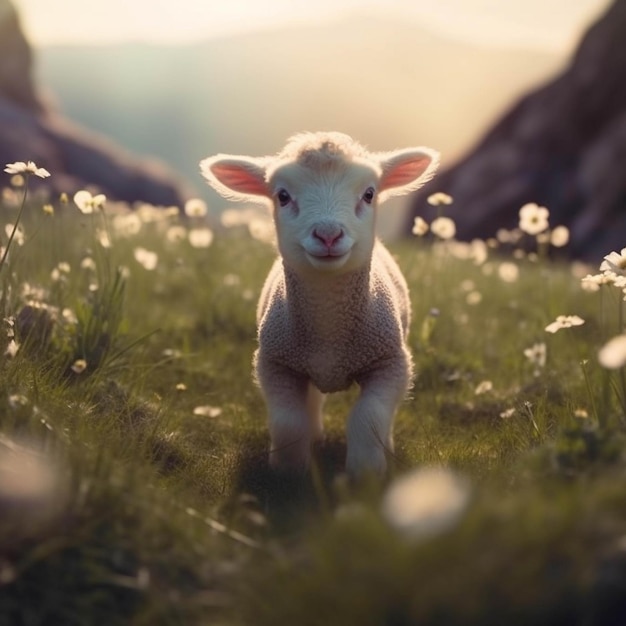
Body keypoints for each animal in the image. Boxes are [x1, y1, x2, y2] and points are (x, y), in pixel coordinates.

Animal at [201, 132, 438, 472]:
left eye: (369, 194)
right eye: (283, 196)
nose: (328, 234)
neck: (329, 331)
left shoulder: (390, 363)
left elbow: (369, 417)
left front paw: (366, 472)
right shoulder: (276, 364)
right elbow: (288, 422)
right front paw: (289, 472)